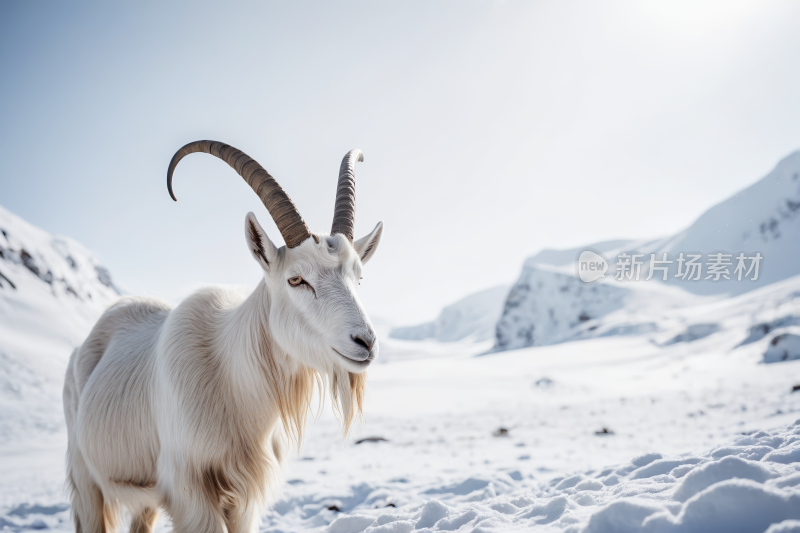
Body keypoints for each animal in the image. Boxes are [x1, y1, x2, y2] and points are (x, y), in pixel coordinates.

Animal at [64, 141, 382, 532]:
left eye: (358, 277)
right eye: (296, 279)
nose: (365, 342)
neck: (231, 383)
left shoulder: (243, 498)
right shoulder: (191, 493)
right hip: (86, 481)